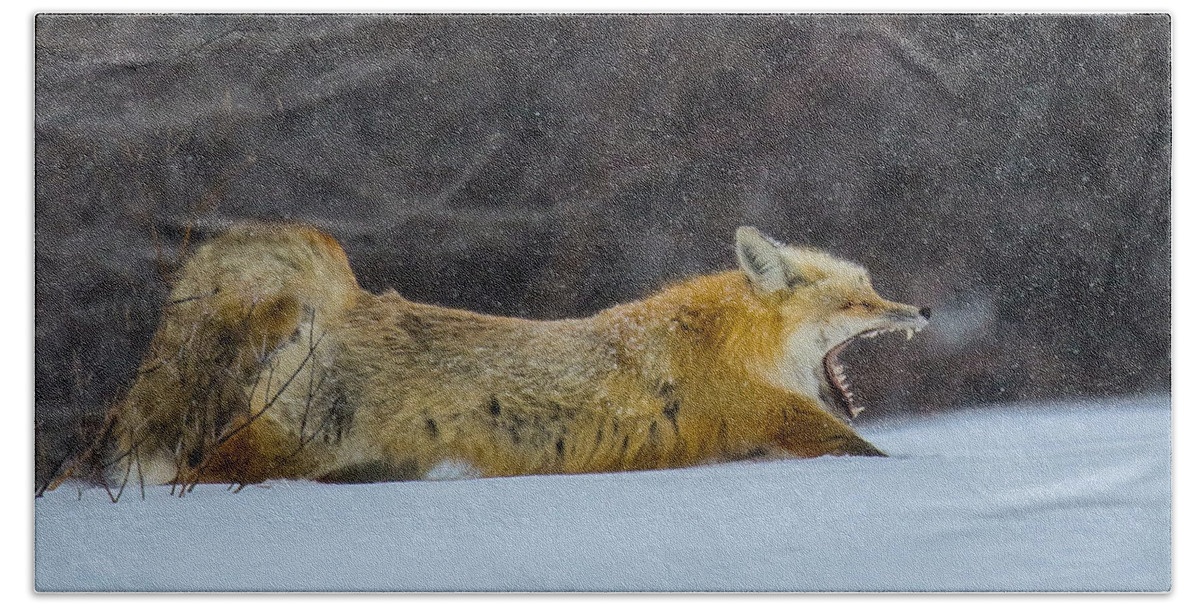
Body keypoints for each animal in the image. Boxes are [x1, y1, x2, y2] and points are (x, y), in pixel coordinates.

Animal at [60, 221, 931, 491]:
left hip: (373, 466)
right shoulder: (783, 423)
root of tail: (348, 301)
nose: (921, 310)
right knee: (186, 473)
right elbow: (871, 455)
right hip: (283, 451)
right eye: (858, 303)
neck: (735, 347)